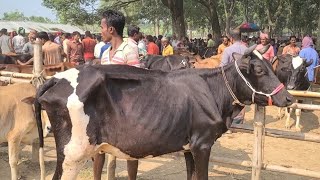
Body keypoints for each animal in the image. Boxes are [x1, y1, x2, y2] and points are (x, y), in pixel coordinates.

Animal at [35, 45, 292, 179]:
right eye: (259, 70)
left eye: (271, 66)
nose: (288, 97)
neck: (213, 91)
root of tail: (57, 77)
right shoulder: (203, 143)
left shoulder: (189, 145)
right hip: (73, 153)